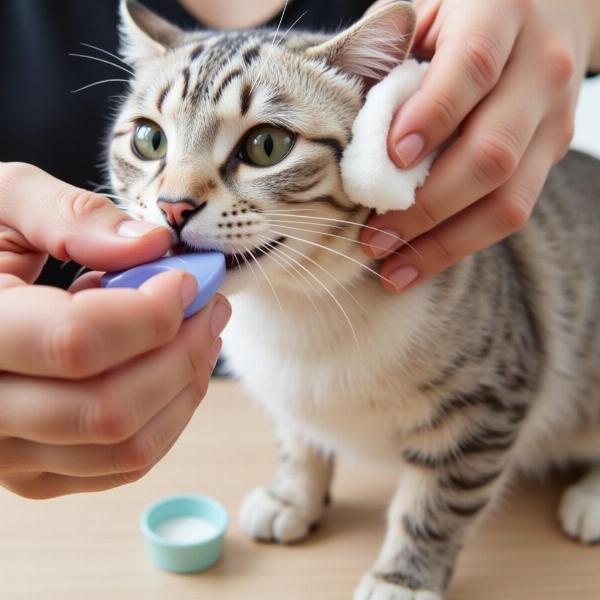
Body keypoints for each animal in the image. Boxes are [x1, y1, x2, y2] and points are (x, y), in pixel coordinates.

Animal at [108, 2, 600, 596]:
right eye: (149, 140)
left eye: (266, 146)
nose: (173, 207)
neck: (296, 303)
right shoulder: (287, 390)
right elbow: (298, 439)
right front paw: (293, 497)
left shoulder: (485, 402)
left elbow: (438, 500)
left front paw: (402, 578)